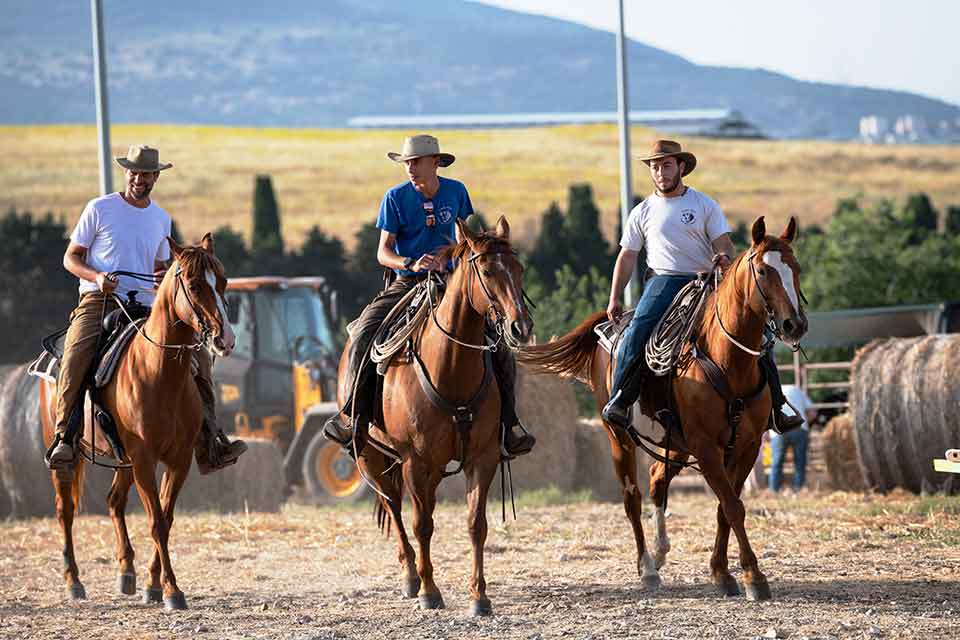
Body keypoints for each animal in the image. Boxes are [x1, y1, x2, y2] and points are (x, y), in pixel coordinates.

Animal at [40, 235, 236, 608]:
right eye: (194, 285)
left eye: (223, 281)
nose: (225, 339)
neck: (158, 374)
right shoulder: (144, 458)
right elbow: (156, 522)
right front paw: (172, 590)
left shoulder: (178, 459)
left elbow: (166, 519)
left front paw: (153, 584)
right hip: (69, 457)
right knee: (65, 509)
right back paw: (74, 581)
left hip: (124, 460)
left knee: (114, 502)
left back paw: (126, 572)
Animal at [336, 218, 532, 616]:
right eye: (487, 271)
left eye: (518, 269)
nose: (520, 327)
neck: (451, 369)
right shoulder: (415, 460)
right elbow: (421, 524)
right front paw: (429, 591)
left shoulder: (482, 457)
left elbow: (476, 524)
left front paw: (479, 597)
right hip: (373, 457)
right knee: (394, 507)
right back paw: (411, 577)